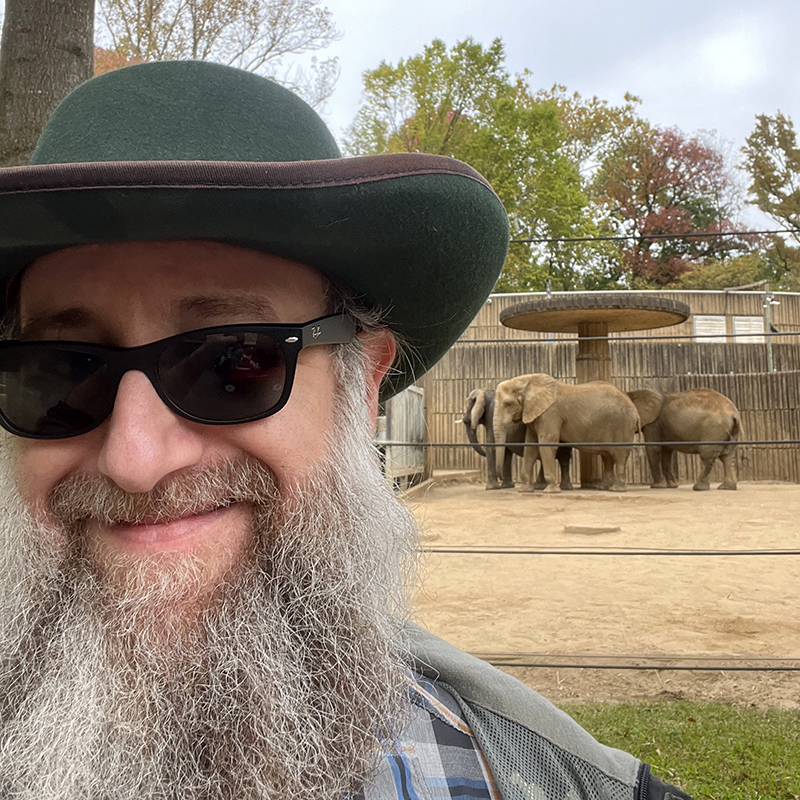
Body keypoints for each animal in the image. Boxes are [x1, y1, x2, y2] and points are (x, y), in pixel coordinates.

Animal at [490, 376, 640, 494]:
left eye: (508, 404)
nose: (502, 481)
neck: (526, 381)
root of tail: (634, 408)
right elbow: (530, 447)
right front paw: (525, 490)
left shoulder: (550, 414)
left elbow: (547, 444)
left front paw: (551, 491)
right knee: (607, 456)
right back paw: (604, 488)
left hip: (622, 425)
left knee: (619, 455)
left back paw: (617, 490)